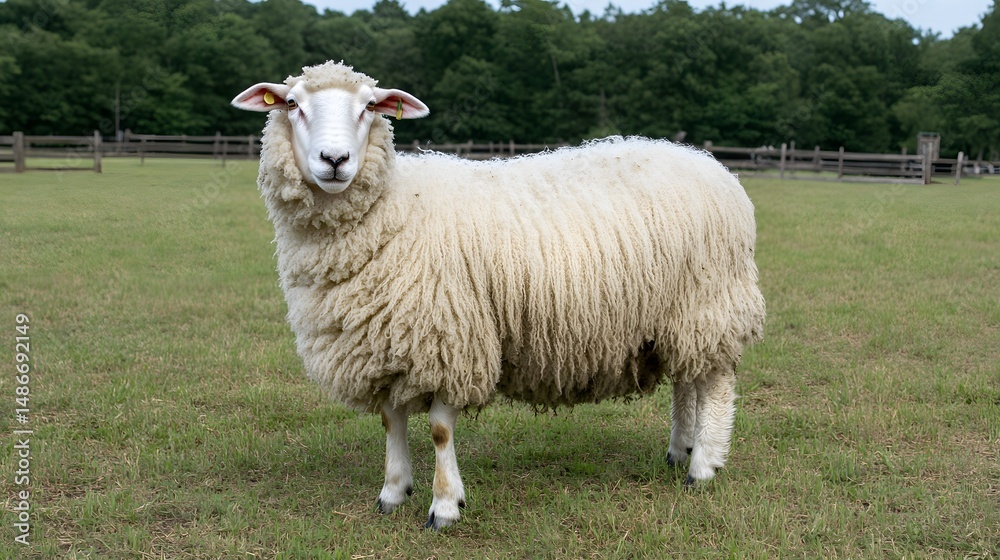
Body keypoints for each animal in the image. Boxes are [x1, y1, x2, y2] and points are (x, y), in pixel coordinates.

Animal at [232, 61, 766, 530]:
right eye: (293, 104)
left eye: (369, 107)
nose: (335, 161)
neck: (395, 206)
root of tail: (714, 167)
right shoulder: (384, 341)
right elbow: (391, 421)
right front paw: (392, 493)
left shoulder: (449, 338)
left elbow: (440, 429)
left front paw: (445, 506)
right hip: (678, 315)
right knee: (687, 381)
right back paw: (680, 451)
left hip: (710, 301)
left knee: (714, 384)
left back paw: (703, 467)